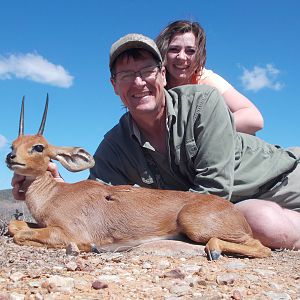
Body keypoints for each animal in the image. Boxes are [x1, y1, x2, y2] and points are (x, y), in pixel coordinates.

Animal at [5, 96, 272, 260]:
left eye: (39, 147)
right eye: (13, 144)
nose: (11, 157)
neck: (53, 195)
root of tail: (237, 214)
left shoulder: (68, 232)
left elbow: (22, 235)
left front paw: (85, 248)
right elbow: (14, 227)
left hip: (195, 225)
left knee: (262, 247)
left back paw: (214, 250)